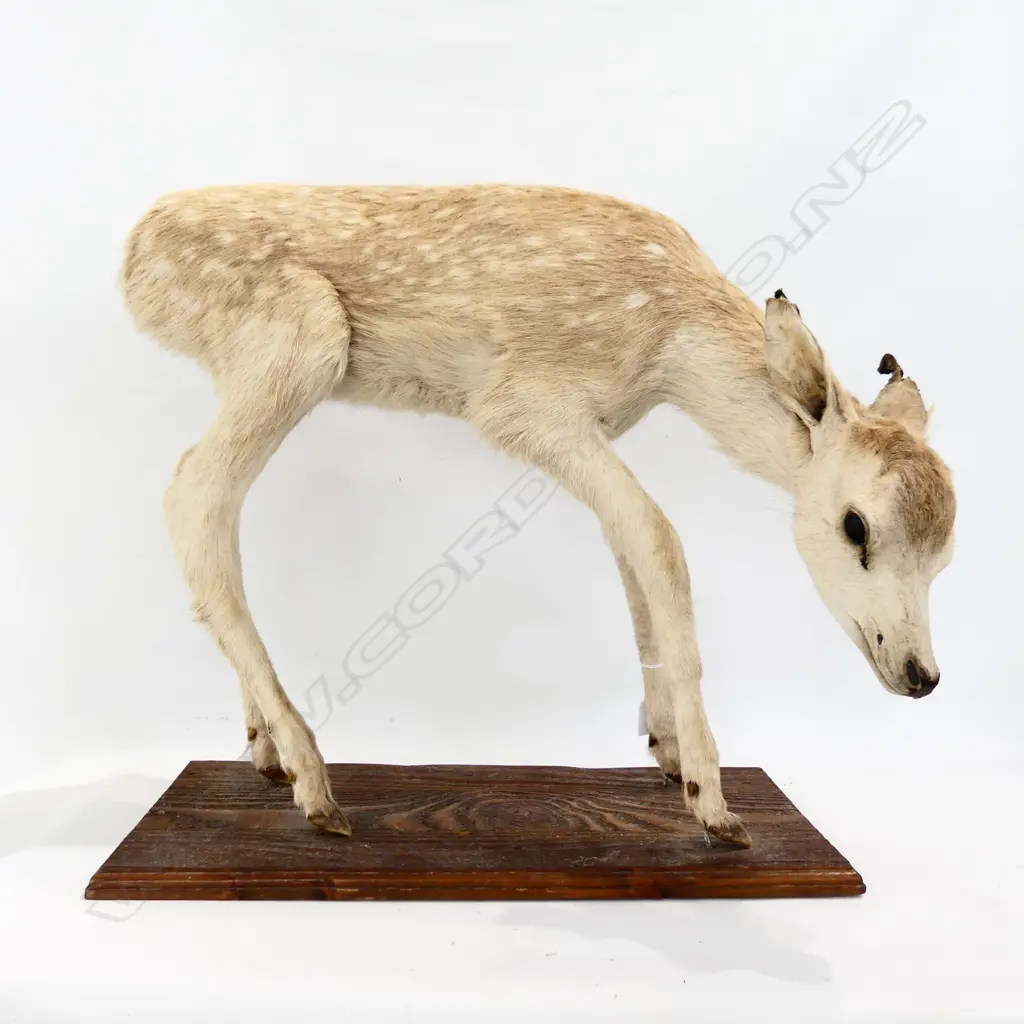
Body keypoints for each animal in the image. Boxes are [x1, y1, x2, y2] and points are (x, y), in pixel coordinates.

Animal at [120, 184, 956, 848]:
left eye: (948, 553)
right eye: (856, 525)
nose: (923, 677)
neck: (670, 347)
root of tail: (132, 256)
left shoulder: (593, 433)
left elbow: (631, 552)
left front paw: (667, 753)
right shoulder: (523, 408)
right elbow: (663, 541)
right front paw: (715, 809)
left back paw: (263, 750)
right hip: (301, 343)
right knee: (192, 492)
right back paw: (315, 787)